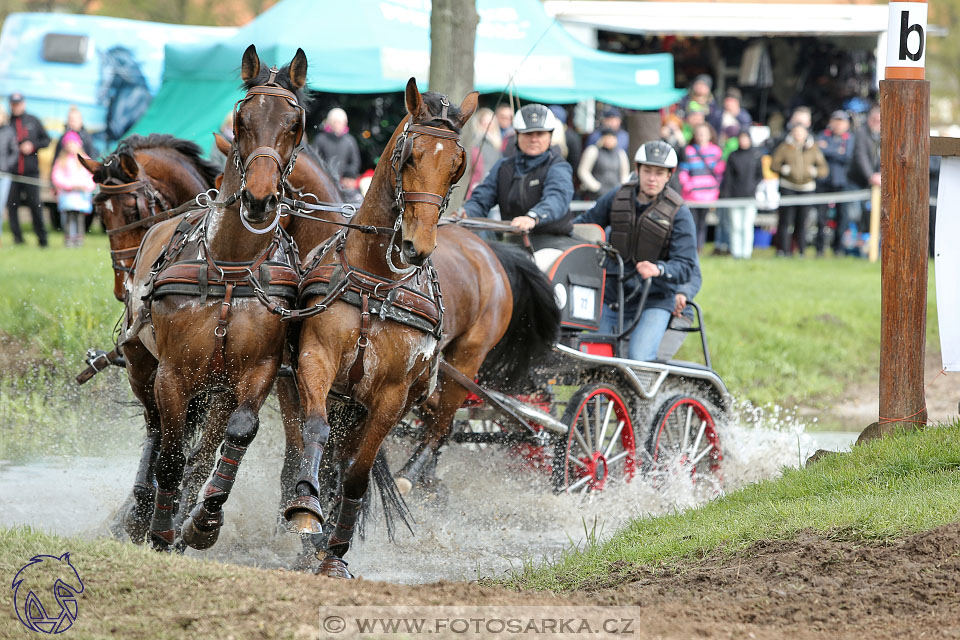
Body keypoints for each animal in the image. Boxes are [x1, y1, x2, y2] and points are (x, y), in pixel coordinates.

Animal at [122, 43, 306, 552]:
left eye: (295, 123)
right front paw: (162, 530)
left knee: (201, 451)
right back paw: (145, 512)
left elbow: (234, 437)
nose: (260, 200)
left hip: (218, 386)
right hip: (141, 364)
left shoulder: (258, 368)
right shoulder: (172, 373)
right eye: (241, 119)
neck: (229, 267)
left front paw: (201, 521)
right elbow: (170, 454)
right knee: (157, 433)